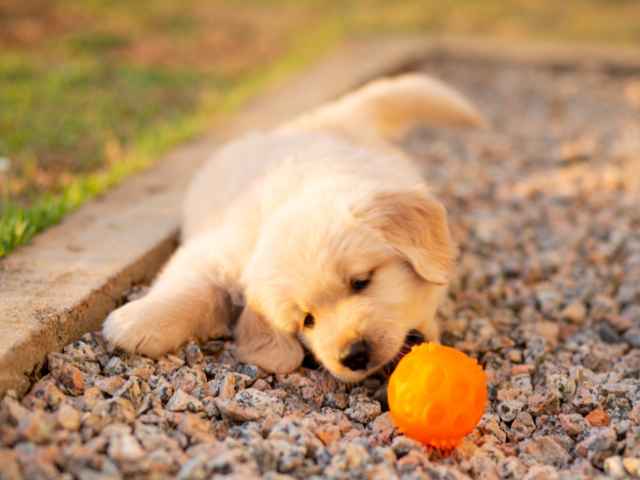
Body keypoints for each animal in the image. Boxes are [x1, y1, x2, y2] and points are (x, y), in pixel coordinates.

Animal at [102, 75, 482, 382]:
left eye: (361, 282)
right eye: (306, 320)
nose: (354, 355)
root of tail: (318, 120)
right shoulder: (218, 251)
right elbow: (190, 285)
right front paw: (138, 321)